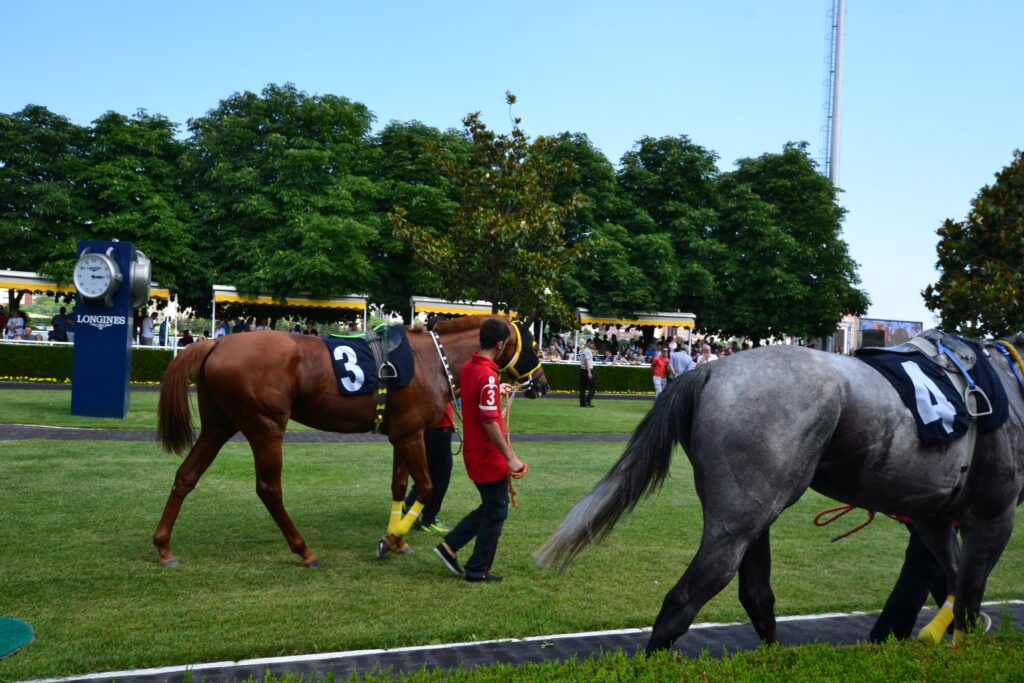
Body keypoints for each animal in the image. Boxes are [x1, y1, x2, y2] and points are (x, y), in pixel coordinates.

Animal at [154, 314, 547, 568]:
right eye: (532, 345)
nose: (542, 383)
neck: (433, 360)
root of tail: (215, 343)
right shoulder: (412, 435)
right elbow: (425, 486)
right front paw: (391, 539)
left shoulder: (401, 434)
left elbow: (399, 485)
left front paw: (398, 538)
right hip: (265, 426)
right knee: (269, 489)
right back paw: (304, 551)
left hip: (219, 425)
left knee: (186, 475)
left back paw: (164, 546)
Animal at [536, 338, 1024, 652]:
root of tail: (709, 368)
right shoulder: (993, 514)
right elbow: (969, 594)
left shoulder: (931, 516)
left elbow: (953, 580)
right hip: (738, 522)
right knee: (683, 600)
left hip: (755, 511)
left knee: (756, 595)